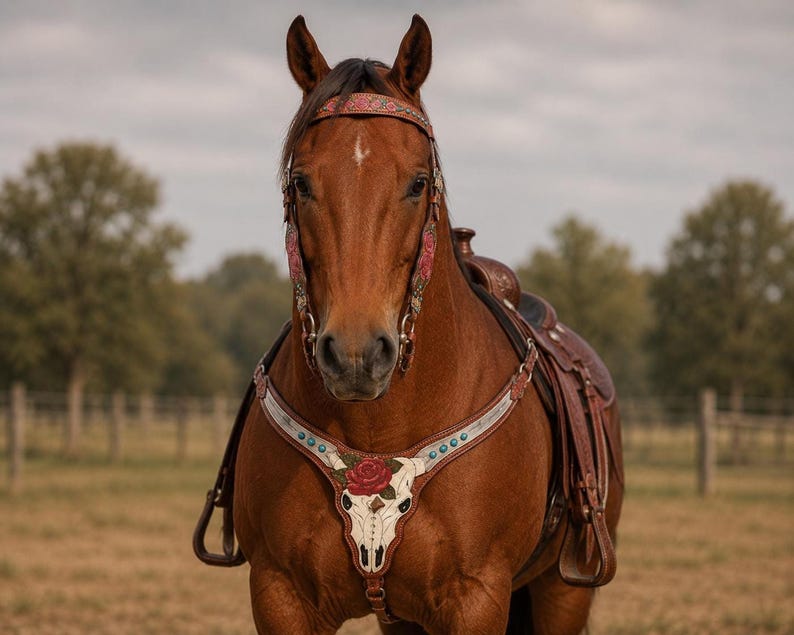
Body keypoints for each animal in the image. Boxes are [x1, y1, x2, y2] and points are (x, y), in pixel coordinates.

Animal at [197, 14, 623, 634]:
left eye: (418, 182)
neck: (375, 434)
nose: (355, 356)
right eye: (301, 182)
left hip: (561, 592)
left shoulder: (477, 599)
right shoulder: (280, 595)